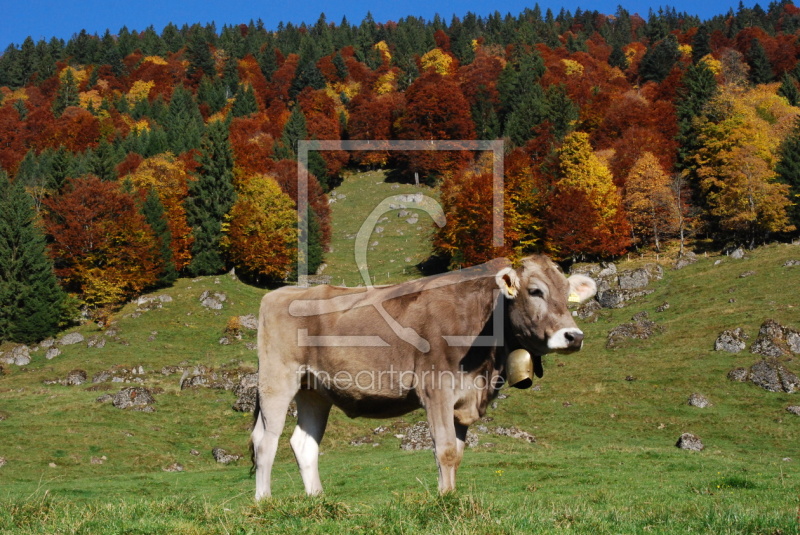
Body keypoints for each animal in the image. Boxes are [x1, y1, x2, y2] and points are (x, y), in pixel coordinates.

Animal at [250, 253, 592, 500]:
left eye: (568, 294)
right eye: (535, 291)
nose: (574, 337)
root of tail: (280, 293)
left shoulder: (463, 398)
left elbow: (457, 453)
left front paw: (450, 495)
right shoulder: (436, 390)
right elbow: (445, 450)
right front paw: (444, 501)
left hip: (314, 390)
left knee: (303, 444)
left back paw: (317, 500)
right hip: (277, 379)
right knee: (266, 441)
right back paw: (264, 500)